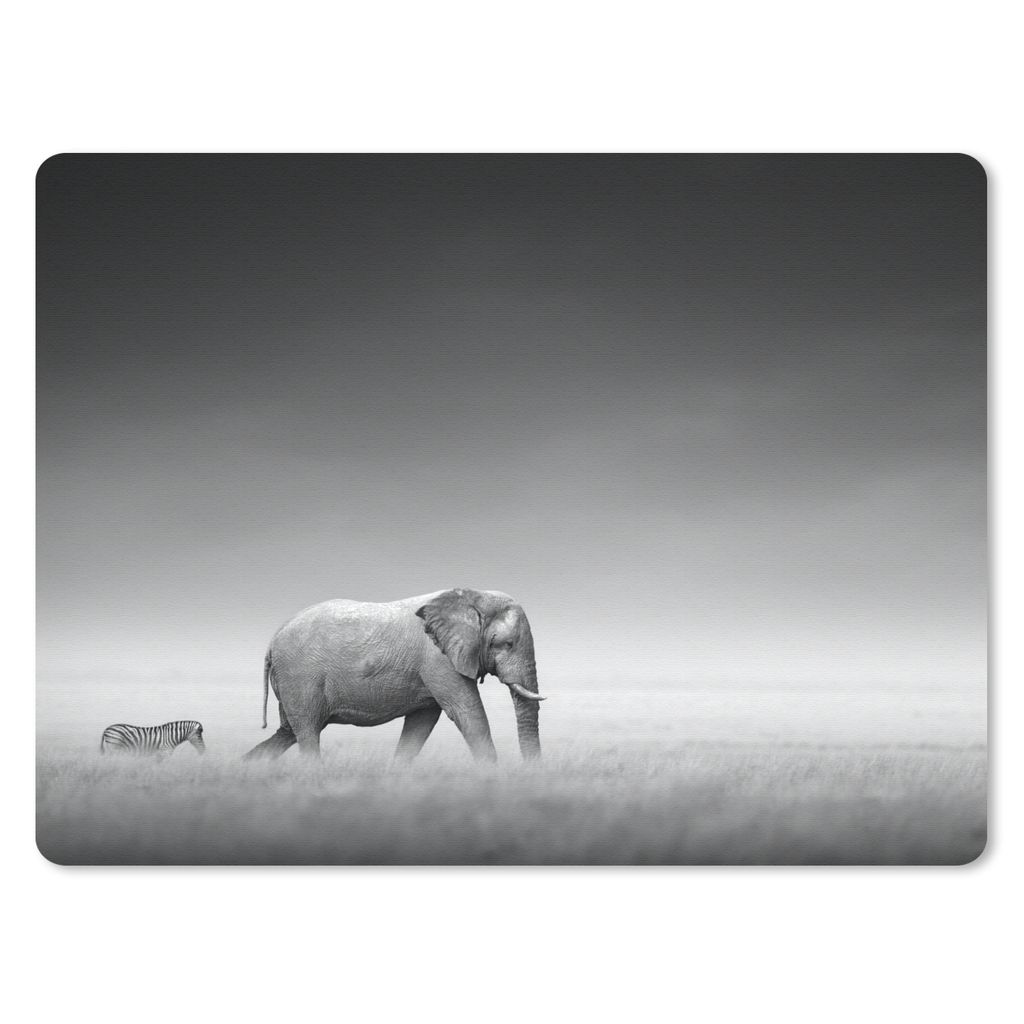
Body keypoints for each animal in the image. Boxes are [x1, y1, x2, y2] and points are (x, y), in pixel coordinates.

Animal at [243, 588, 544, 762]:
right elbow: (468, 714)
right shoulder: (438, 659)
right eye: (506, 644)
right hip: (300, 677)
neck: (471, 597)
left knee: (288, 732)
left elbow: (421, 724)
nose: (530, 775)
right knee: (306, 732)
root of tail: (272, 642)